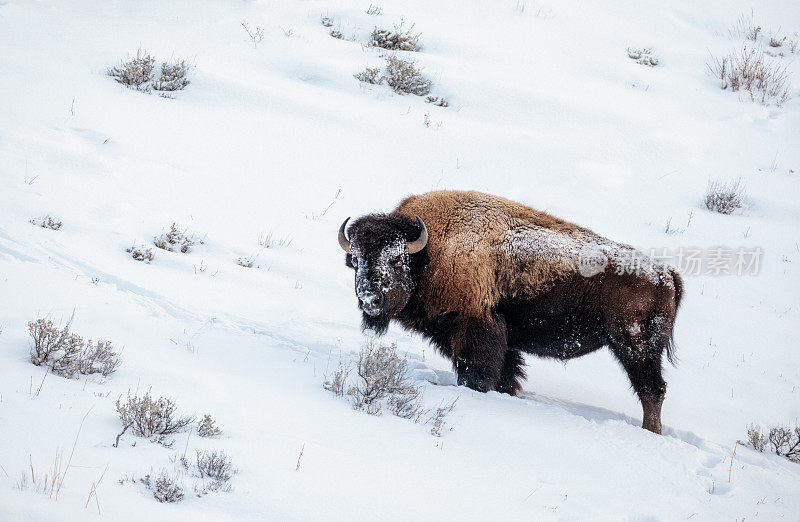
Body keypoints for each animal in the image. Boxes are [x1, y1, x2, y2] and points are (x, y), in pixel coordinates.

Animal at [338, 188, 680, 430]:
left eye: (396, 258)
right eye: (355, 260)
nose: (369, 299)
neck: (430, 251)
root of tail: (666, 274)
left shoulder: (474, 330)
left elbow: (477, 372)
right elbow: (507, 374)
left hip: (635, 348)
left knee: (652, 390)